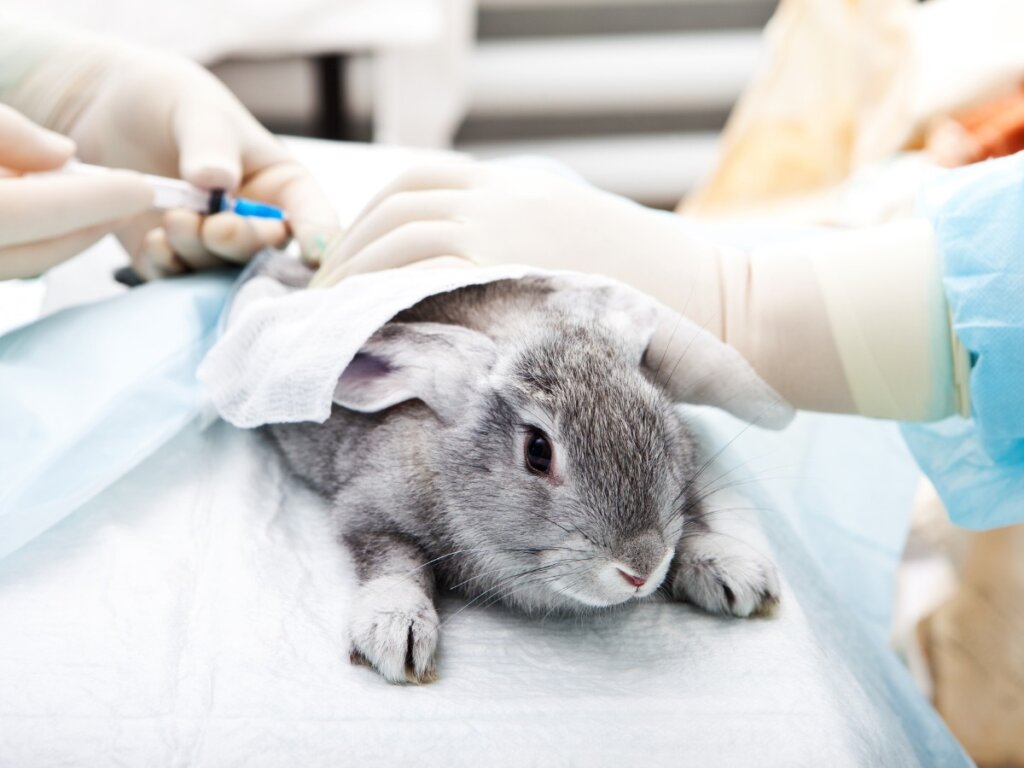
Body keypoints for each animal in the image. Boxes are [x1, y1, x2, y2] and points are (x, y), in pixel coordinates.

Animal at [264, 271, 781, 684]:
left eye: (657, 420)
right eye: (537, 451)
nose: (641, 569)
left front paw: (736, 572)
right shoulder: (369, 509)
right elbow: (394, 560)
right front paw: (396, 630)